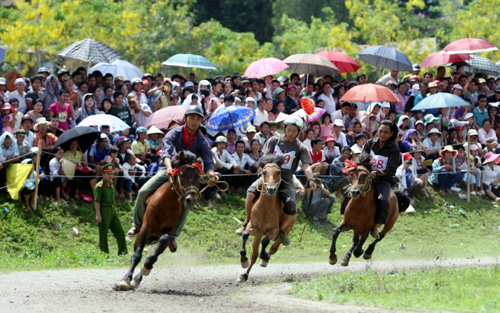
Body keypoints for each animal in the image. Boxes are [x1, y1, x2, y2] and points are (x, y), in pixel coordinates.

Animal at [114, 151, 202, 290]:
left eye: (199, 177)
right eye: (182, 174)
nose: (191, 200)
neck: (166, 202)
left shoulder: (169, 230)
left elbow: (159, 247)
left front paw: (146, 266)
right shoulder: (146, 228)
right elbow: (137, 255)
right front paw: (125, 280)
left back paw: (139, 277)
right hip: (141, 234)